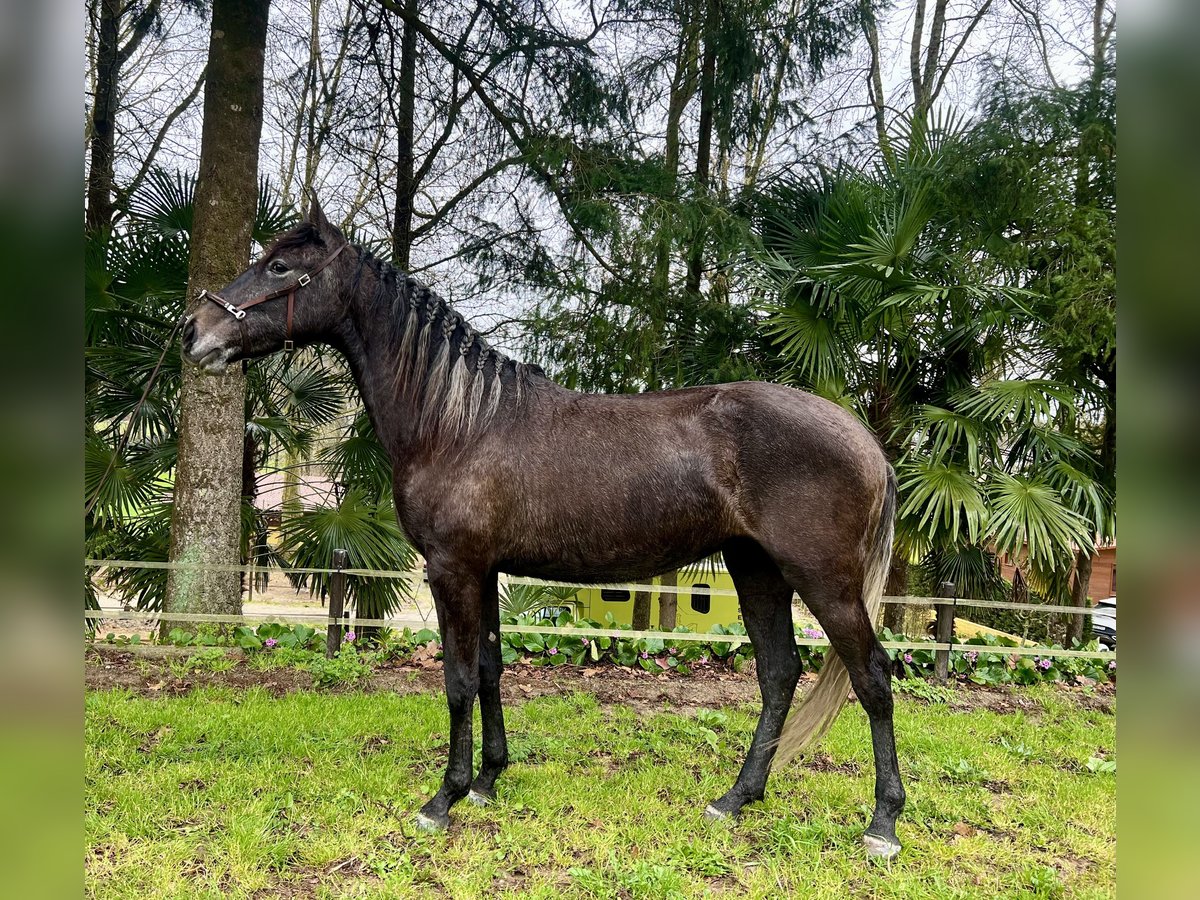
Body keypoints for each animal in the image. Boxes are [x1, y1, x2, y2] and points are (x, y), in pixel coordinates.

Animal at [180, 200, 902, 864]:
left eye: (279, 266)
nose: (193, 331)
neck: (458, 422)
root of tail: (868, 442)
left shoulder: (452, 568)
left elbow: (458, 680)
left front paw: (443, 799)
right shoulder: (484, 571)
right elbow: (491, 669)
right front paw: (488, 781)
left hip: (823, 580)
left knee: (870, 677)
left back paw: (882, 826)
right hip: (756, 569)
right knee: (778, 674)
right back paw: (735, 799)